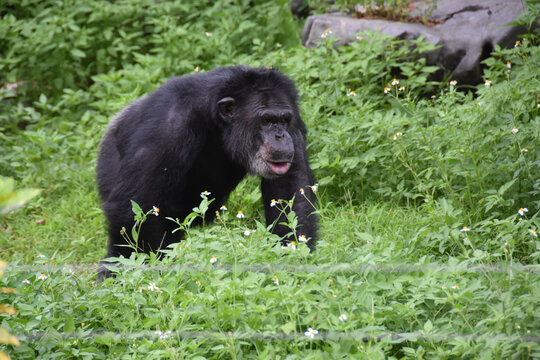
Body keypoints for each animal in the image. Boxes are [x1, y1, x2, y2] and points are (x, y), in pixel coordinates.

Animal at [96, 65, 316, 272]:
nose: (280, 135)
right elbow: (139, 204)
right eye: (266, 120)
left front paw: (293, 257)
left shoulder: (294, 114)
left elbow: (288, 189)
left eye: (283, 120)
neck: (217, 119)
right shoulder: (167, 126)